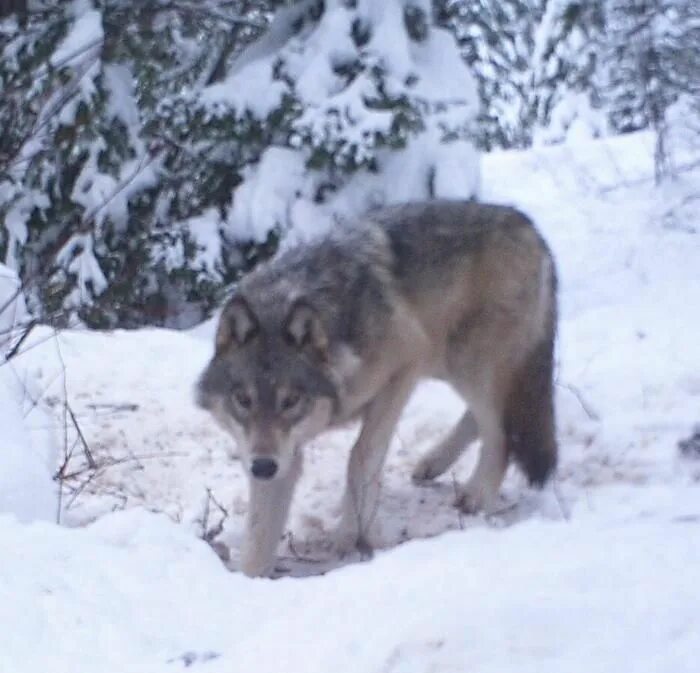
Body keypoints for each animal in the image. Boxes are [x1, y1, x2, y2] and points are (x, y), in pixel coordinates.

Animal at [197, 197, 556, 576]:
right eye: (243, 399)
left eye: (291, 400)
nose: (262, 467)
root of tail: (528, 225)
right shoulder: (281, 454)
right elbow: (260, 537)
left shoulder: (405, 366)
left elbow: (362, 456)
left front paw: (353, 534)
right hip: (450, 365)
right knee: (485, 418)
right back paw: (432, 463)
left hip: (466, 362)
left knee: (501, 435)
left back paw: (476, 496)